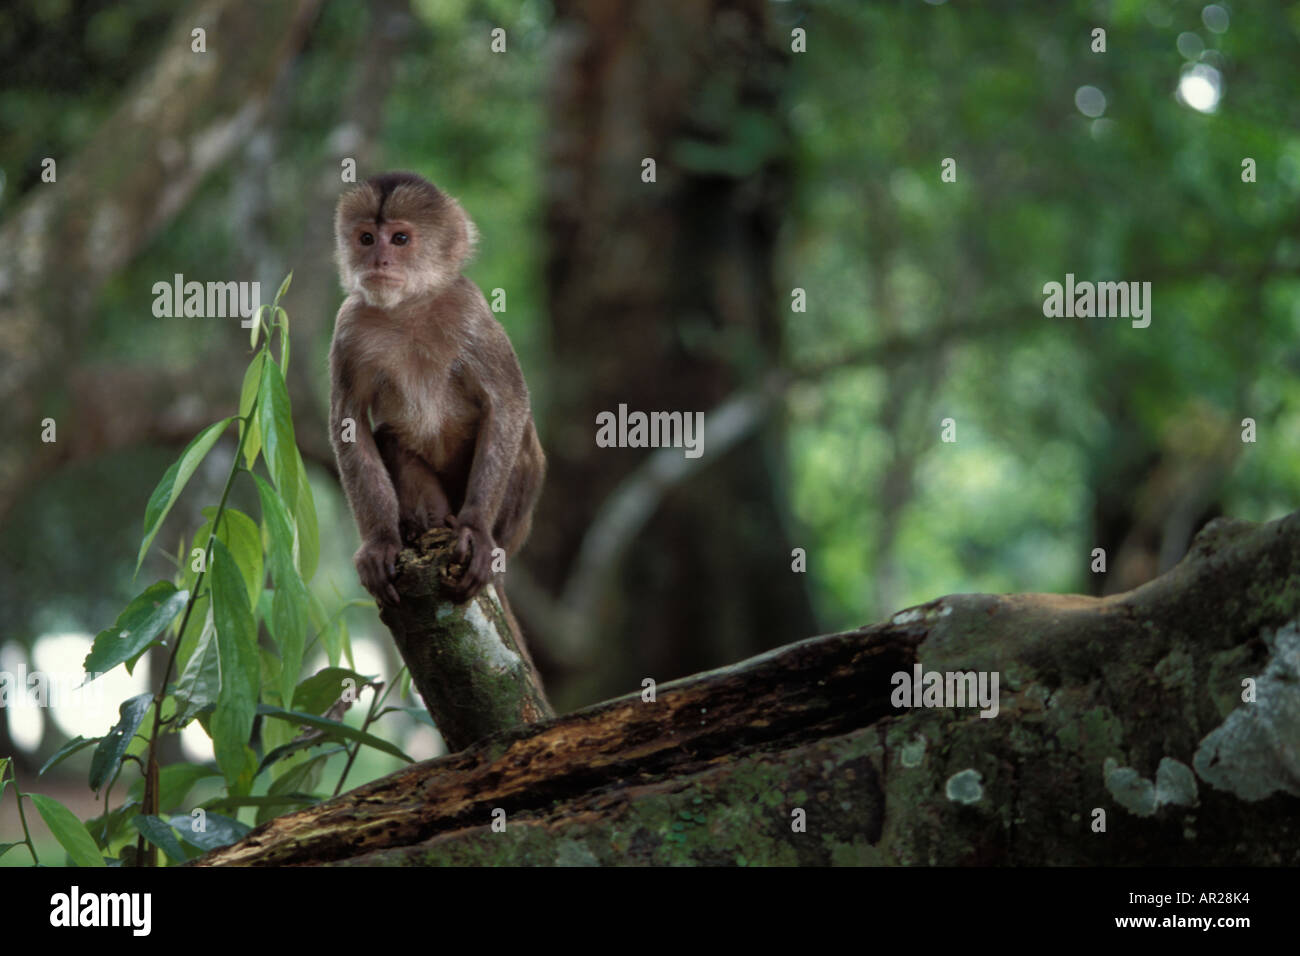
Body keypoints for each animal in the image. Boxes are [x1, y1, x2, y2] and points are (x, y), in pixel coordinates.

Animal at [330, 170, 548, 606]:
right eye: (366, 238)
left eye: (399, 239)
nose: (378, 261)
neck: (407, 309)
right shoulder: (348, 327)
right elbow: (349, 424)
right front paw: (380, 542)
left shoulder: (469, 309)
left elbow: (508, 403)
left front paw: (476, 530)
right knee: (390, 438)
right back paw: (423, 525)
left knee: (521, 439)